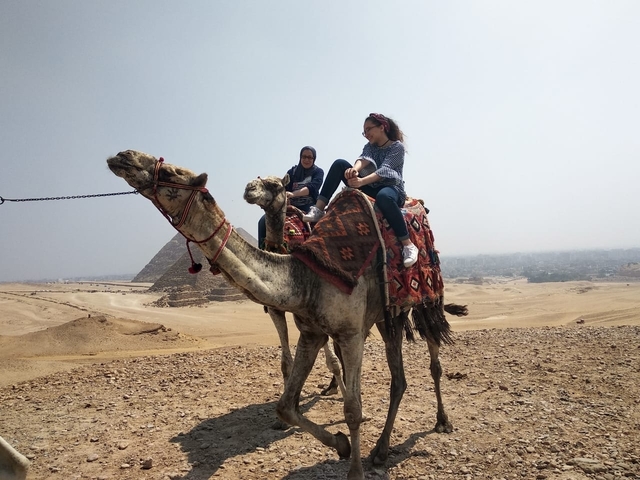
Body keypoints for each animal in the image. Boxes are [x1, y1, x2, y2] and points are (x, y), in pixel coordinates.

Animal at [243, 174, 345, 398]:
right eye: (258, 178)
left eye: (275, 185)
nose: (248, 189)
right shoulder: (275, 309)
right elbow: (286, 363)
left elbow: (332, 360)